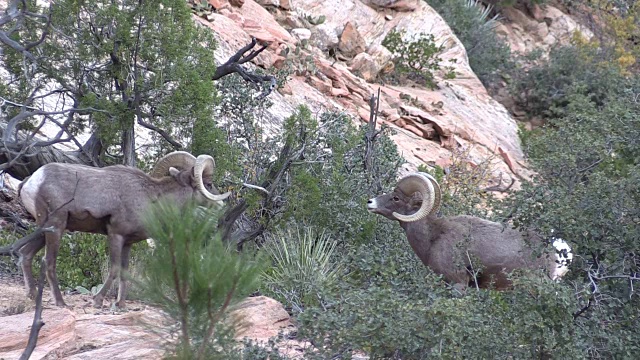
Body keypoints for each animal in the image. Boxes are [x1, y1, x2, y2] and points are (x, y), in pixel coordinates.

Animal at [15, 150, 232, 308]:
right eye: (208, 183)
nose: (221, 205)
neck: (152, 200)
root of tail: (32, 181)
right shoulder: (115, 235)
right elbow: (114, 269)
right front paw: (98, 301)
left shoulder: (128, 243)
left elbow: (124, 273)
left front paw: (120, 305)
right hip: (56, 228)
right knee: (48, 262)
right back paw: (61, 303)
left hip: (45, 230)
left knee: (25, 254)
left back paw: (32, 296)